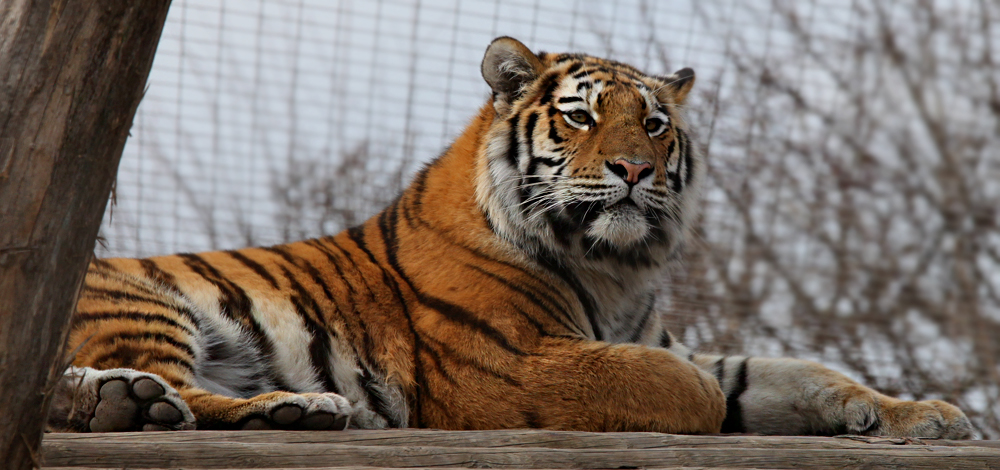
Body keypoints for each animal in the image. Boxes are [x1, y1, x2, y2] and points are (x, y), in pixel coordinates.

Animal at [45, 37, 968, 440]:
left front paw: (921, 414)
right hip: (143, 302)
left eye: (655, 123)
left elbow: (801, 373)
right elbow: (679, 388)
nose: (635, 168)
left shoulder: (668, 341)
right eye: (583, 116)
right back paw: (285, 408)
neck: (616, 269)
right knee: (147, 385)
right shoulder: (513, 364)